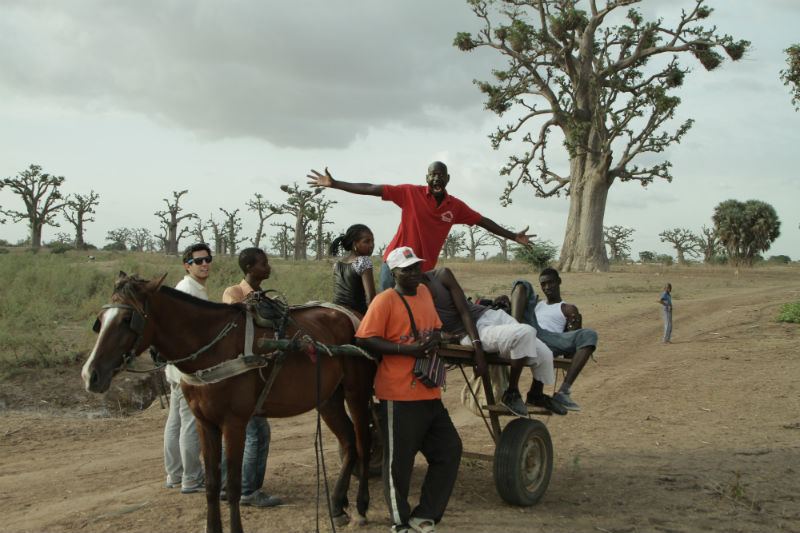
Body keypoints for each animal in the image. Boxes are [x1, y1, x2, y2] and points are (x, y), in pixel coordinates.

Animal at [83, 274, 376, 532]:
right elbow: (213, 484)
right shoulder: (205, 422)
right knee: (349, 443)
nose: (90, 374)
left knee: (363, 444)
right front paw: (212, 527)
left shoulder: (234, 423)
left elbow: (233, 485)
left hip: (357, 392)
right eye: (100, 320)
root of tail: (352, 314)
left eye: (126, 319)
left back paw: (361, 506)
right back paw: (337, 505)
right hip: (328, 398)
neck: (213, 346)